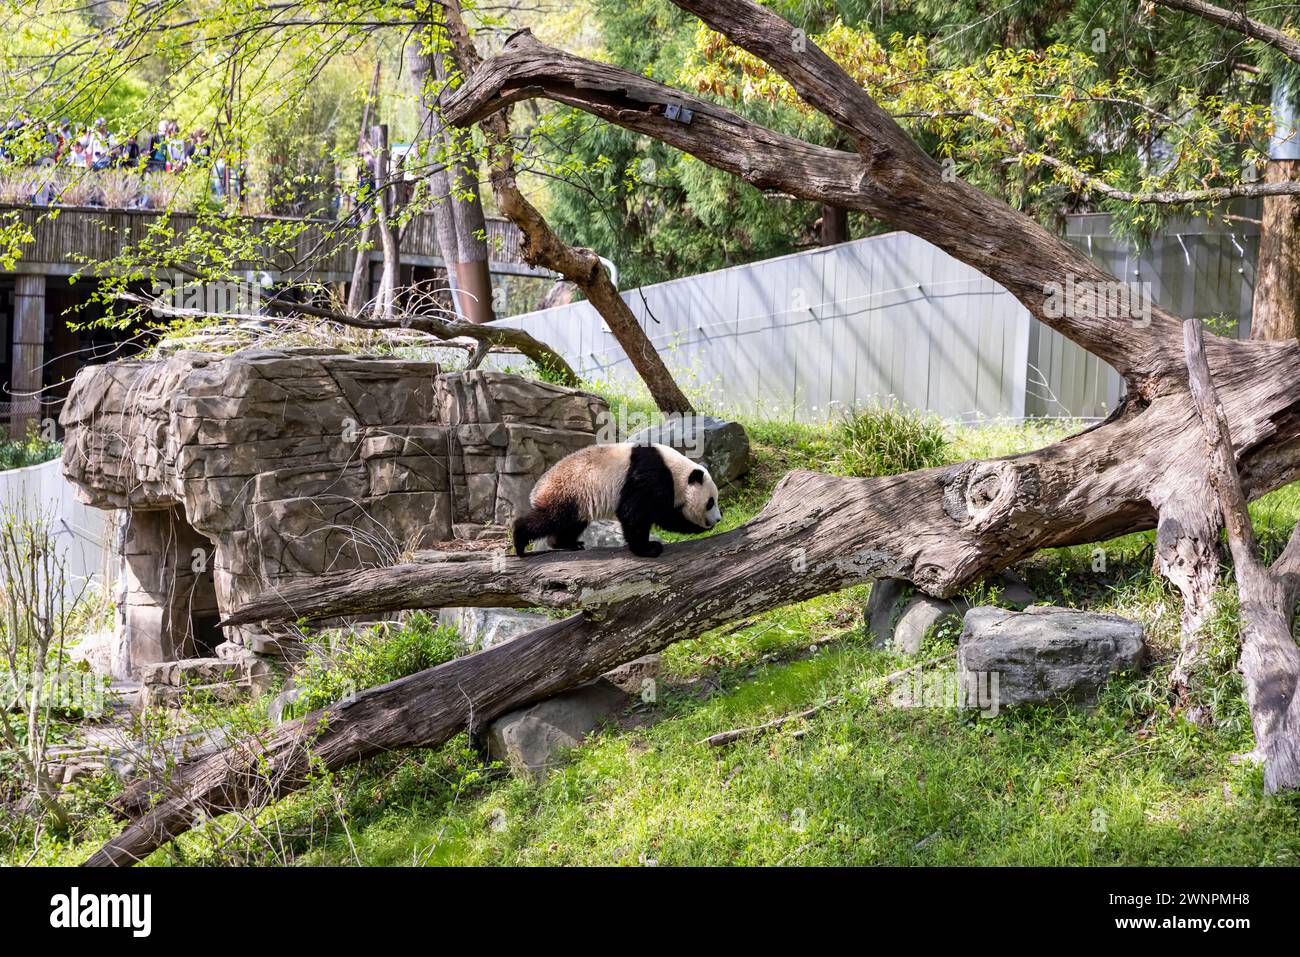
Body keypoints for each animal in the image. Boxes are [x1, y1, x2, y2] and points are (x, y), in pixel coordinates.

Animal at [512, 443, 723, 558]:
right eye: (710, 502)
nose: (719, 519)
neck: (675, 470)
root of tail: (537, 489)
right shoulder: (649, 475)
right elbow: (635, 514)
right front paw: (648, 549)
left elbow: (664, 516)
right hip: (567, 491)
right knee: (550, 518)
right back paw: (520, 542)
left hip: (578, 499)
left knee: (572, 523)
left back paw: (567, 543)